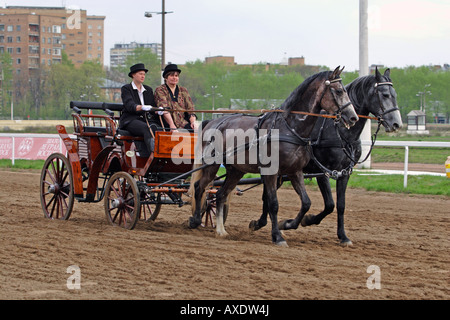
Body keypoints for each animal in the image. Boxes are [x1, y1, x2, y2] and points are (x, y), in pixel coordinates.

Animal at [189, 67, 358, 248]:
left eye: (345, 90)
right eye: (339, 91)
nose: (353, 117)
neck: (289, 128)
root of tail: (214, 122)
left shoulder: (295, 171)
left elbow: (306, 202)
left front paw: (289, 224)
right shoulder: (270, 172)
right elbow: (273, 203)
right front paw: (277, 236)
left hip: (236, 170)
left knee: (220, 194)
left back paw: (220, 230)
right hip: (211, 164)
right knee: (199, 187)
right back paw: (196, 220)